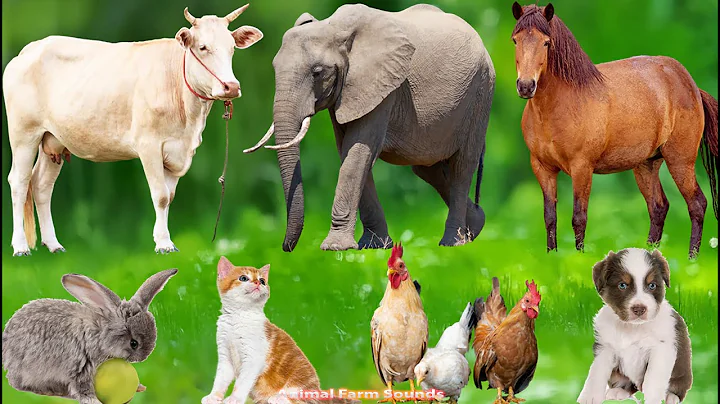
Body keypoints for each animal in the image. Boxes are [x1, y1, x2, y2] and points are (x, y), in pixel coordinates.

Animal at [3, 5, 263, 256]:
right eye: (203, 47)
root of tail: (31, 48)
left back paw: (53, 244)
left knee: (41, 185)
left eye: (232, 48)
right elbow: (160, 196)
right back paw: (20, 247)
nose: (231, 87)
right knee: (19, 182)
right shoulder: (149, 145)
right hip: (24, 134)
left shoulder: (179, 150)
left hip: (54, 140)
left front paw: (164, 239)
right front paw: (163, 244)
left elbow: (169, 196)